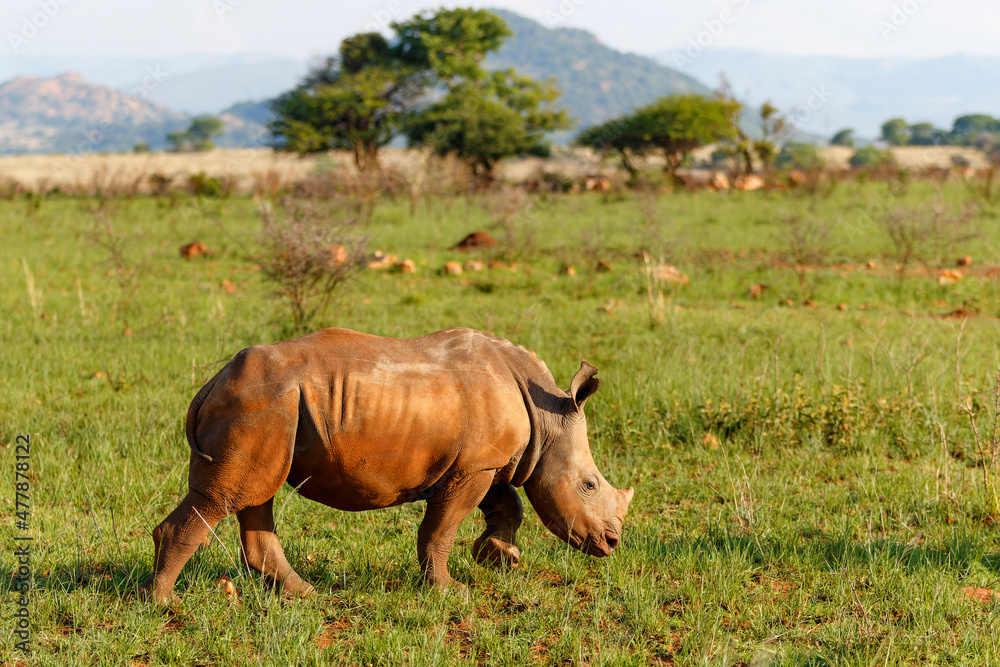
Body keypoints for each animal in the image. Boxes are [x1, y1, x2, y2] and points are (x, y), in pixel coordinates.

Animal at [140, 327, 634, 603]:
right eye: (589, 485)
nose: (611, 544)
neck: (547, 417)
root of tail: (212, 381)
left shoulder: (484, 462)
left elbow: (507, 502)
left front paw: (499, 558)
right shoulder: (474, 467)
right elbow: (441, 527)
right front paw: (450, 591)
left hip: (268, 408)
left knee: (257, 493)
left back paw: (306, 595)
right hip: (256, 403)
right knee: (227, 495)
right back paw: (161, 603)